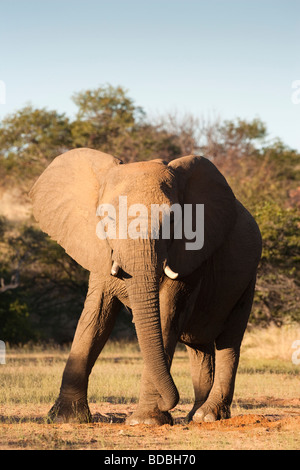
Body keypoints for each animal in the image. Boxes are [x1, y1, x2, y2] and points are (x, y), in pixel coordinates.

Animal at [29, 148, 262, 426]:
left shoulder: (187, 254)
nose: (169, 402)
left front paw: (146, 421)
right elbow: (95, 318)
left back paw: (208, 416)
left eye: (173, 220)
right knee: (199, 347)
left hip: (248, 277)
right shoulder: (100, 248)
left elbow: (166, 314)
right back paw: (193, 416)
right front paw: (65, 419)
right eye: (107, 217)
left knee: (229, 340)